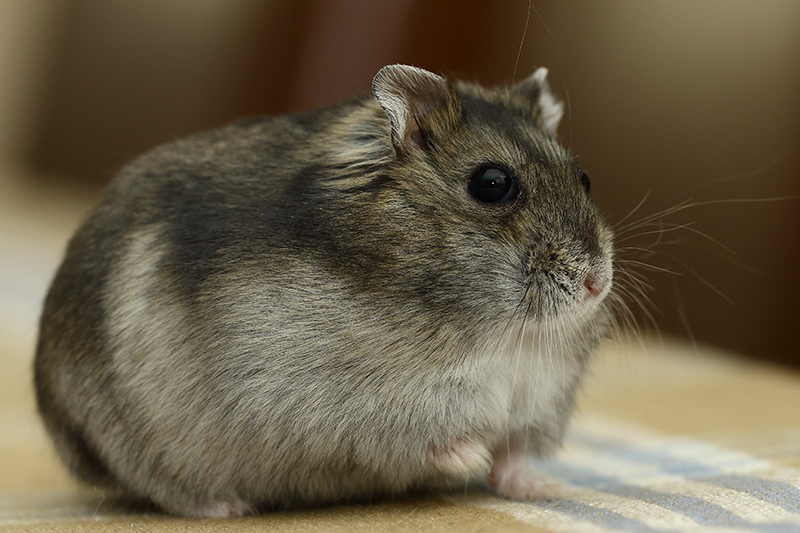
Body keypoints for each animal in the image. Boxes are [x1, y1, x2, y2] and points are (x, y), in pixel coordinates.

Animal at [34, 63, 616, 516]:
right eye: (491, 184)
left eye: (585, 178)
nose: (596, 283)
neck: (503, 334)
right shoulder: (338, 407)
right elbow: (427, 441)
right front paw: (472, 456)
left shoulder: (537, 396)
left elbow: (512, 452)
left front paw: (545, 487)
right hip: (125, 444)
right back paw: (225, 507)